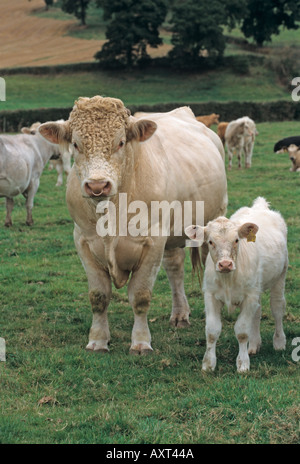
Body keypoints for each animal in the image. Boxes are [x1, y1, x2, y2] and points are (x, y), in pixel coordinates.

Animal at [39, 96, 227, 354]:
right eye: (76, 144)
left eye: (120, 142)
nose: (97, 185)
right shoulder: (83, 240)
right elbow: (98, 296)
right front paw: (97, 340)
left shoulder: (152, 241)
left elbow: (140, 296)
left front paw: (140, 342)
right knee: (175, 268)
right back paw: (180, 314)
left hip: (214, 220)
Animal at [185, 198, 288, 372]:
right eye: (210, 241)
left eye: (236, 240)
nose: (225, 264)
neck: (228, 279)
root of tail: (260, 206)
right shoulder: (210, 295)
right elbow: (212, 330)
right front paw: (208, 364)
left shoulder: (249, 296)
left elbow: (242, 331)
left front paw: (243, 364)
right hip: (257, 287)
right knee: (257, 312)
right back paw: (254, 345)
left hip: (280, 277)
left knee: (277, 309)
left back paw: (279, 342)